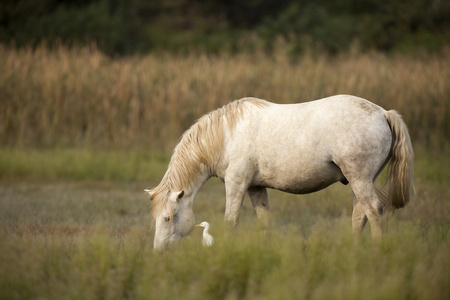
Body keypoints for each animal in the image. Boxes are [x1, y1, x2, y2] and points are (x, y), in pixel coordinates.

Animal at [146, 95, 414, 248]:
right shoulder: (256, 188)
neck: (226, 135)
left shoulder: (236, 184)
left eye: (167, 218)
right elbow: (264, 222)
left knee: (374, 211)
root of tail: (383, 113)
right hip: (359, 180)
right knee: (360, 215)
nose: (158, 251)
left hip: (359, 178)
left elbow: (230, 221)